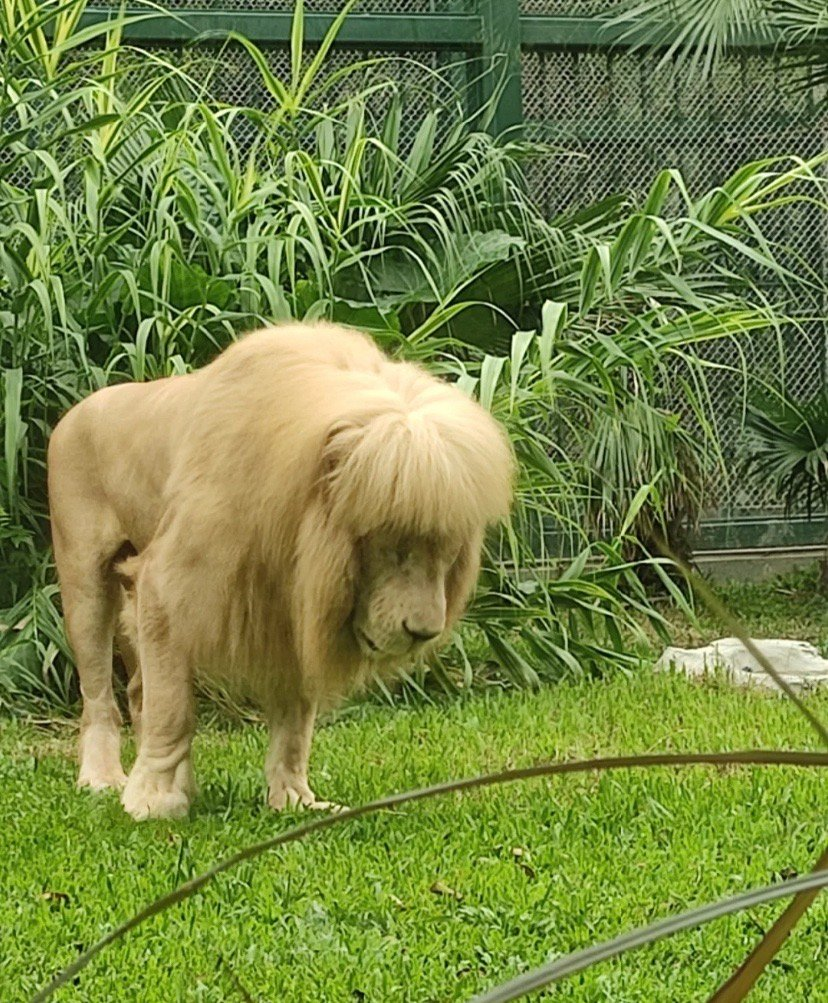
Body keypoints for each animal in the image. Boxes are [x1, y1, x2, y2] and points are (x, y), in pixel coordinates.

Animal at [48, 324, 513, 818]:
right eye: (395, 545)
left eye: (447, 551)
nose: (423, 633)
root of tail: (74, 411)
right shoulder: (165, 584)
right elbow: (172, 708)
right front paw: (154, 801)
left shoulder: (294, 609)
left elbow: (295, 722)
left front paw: (293, 800)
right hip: (85, 585)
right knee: (100, 695)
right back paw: (103, 778)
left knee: (138, 689)